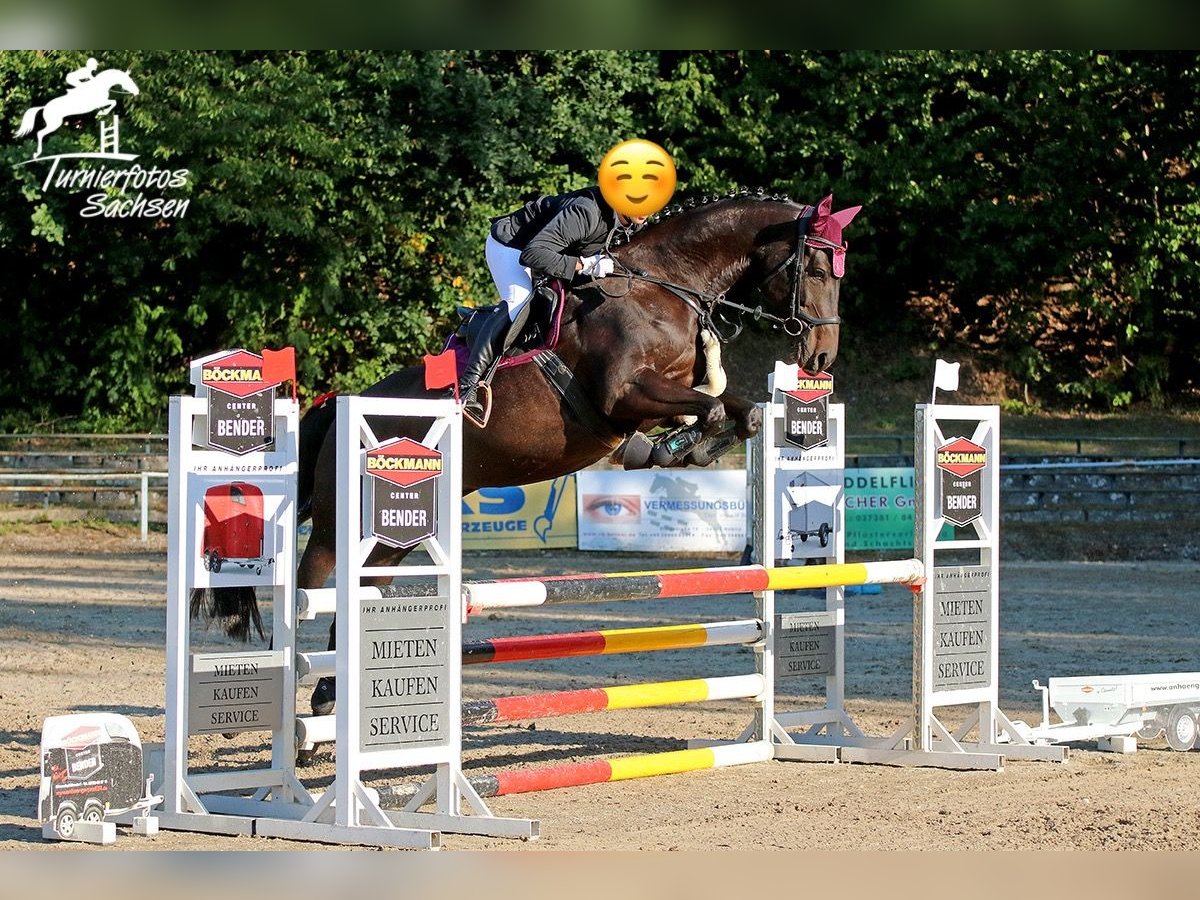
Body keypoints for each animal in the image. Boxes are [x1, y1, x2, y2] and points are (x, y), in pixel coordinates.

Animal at [192, 190, 859, 724]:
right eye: (816, 265)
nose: (823, 357)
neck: (661, 285)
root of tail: (336, 405)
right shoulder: (622, 395)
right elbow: (712, 410)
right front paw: (667, 446)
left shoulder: (670, 393)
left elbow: (738, 413)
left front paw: (673, 448)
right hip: (341, 524)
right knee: (310, 585)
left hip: (393, 533)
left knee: (364, 591)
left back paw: (331, 697)